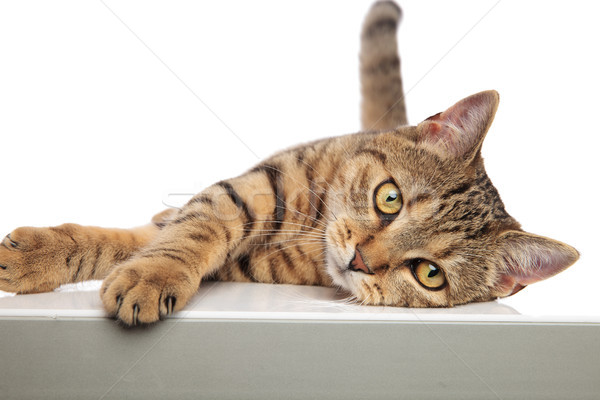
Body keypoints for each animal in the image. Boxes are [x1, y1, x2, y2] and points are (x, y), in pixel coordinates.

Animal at [0, 0, 576, 324]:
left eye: (429, 274)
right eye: (389, 198)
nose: (361, 260)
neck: (311, 225)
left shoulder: (237, 264)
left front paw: (143, 276)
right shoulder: (236, 193)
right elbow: (166, 236)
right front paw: (43, 257)